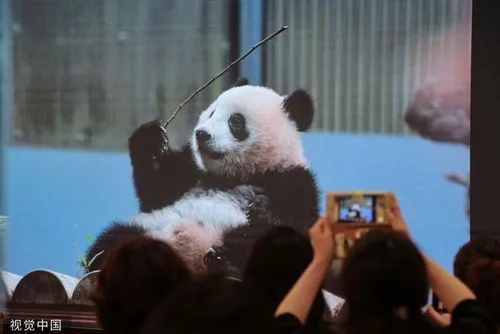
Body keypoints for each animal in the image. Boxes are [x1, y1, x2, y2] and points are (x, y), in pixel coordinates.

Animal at [85, 79, 320, 276]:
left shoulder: (293, 180)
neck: (237, 175)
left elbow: (294, 226)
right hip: (150, 227)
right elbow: (157, 192)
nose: (201, 134)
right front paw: (150, 140)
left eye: (236, 121)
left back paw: (225, 264)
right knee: (112, 240)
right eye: (211, 112)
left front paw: (259, 211)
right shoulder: (192, 170)